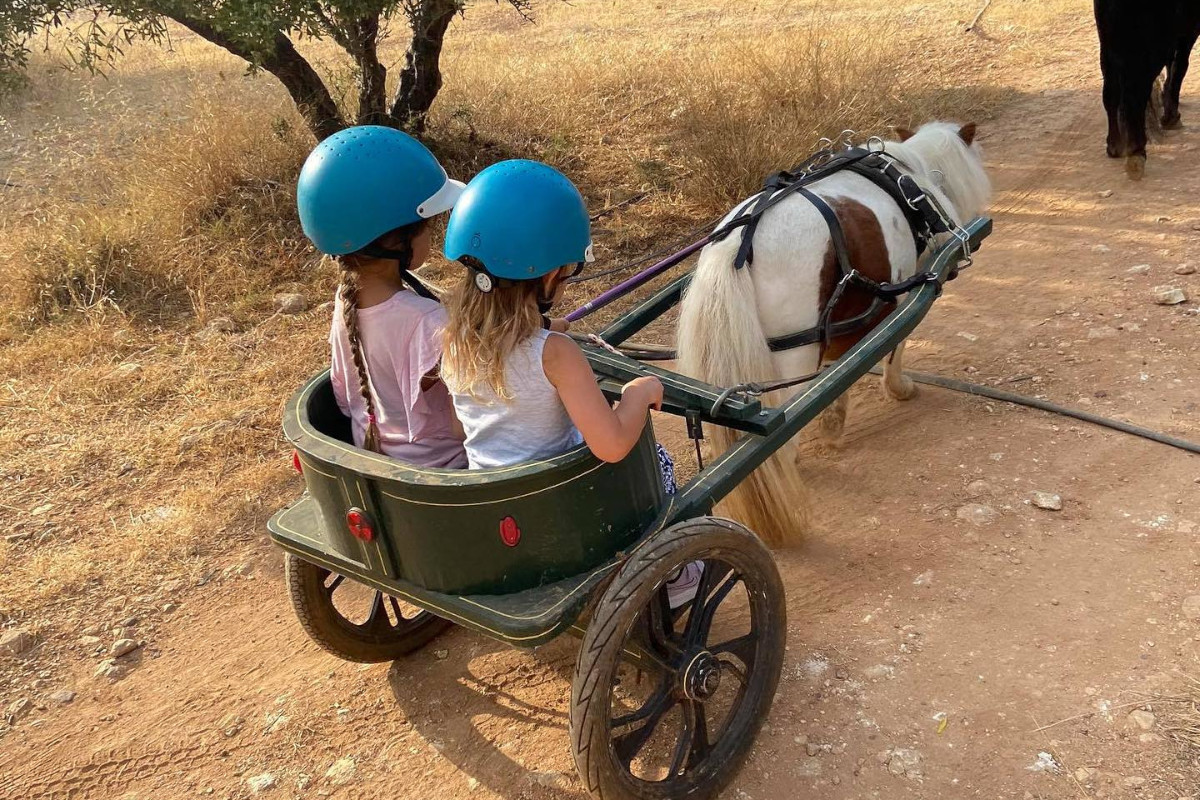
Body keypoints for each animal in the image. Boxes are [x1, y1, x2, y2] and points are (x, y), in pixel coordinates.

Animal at [676, 122, 991, 548]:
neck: (912, 178)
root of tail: (739, 245)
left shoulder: (838, 320)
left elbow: (835, 372)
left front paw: (832, 422)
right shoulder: (905, 292)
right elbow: (889, 350)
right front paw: (897, 389)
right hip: (795, 351)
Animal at [1094, 0, 1200, 179]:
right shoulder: (1187, 30)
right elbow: (1178, 66)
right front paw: (1171, 118)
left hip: (1108, 47)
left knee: (1110, 93)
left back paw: (1115, 146)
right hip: (1147, 49)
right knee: (1136, 93)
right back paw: (1136, 153)